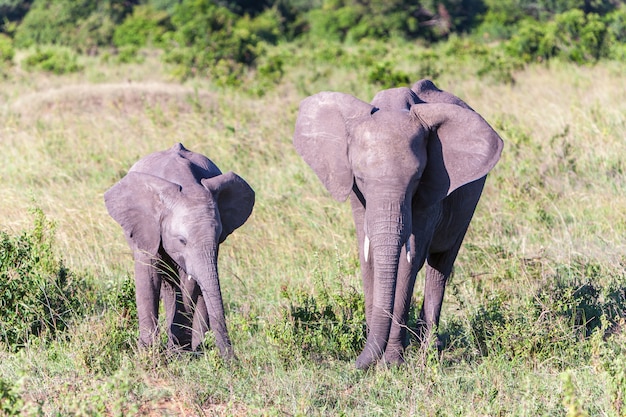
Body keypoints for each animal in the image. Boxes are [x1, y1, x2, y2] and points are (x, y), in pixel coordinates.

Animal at [105, 142, 254, 358]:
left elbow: (190, 284)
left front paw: (177, 354)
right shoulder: (146, 227)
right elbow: (148, 278)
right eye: (182, 240)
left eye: (219, 236)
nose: (234, 361)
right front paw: (147, 355)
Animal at [292, 79, 502, 368]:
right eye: (360, 177)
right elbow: (368, 257)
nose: (355, 365)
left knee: (441, 264)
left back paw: (429, 352)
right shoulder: (357, 194)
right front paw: (376, 356)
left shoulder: (432, 190)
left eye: (416, 178)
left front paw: (391, 362)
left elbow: (408, 261)